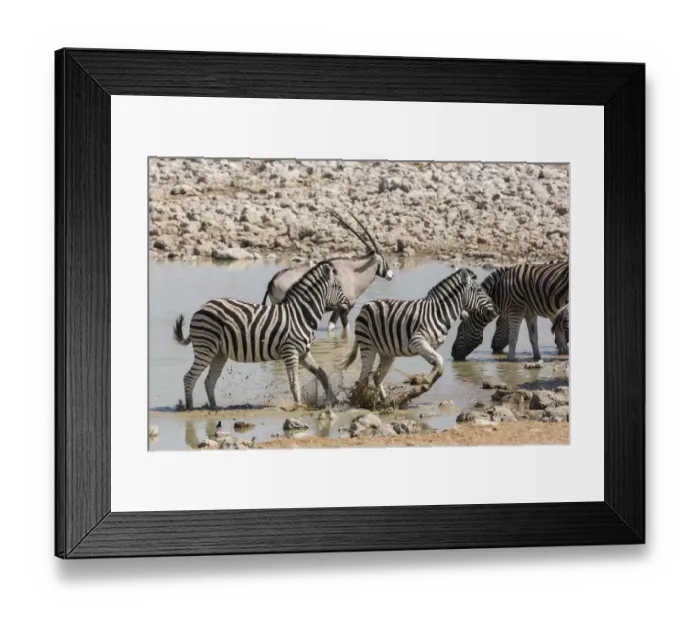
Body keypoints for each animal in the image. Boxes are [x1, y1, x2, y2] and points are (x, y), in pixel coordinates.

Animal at [172, 261, 350, 410]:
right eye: (338, 286)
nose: (348, 304)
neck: (300, 314)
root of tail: (201, 308)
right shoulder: (290, 351)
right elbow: (294, 383)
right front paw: (299, 406)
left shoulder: (303, 352)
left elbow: (322, 374)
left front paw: (333, 400)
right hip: (206, 347)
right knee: (189, 378)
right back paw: (189, 408)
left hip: (219, 353)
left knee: (209, 381)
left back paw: (214, 408)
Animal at [261, 208, 393, 331]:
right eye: (384, 260)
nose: (391, 275)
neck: (353, 273)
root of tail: (273, 281)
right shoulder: (344, 307)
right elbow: (345, 328)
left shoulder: (338, 308)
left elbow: (331, 326)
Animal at [340, 268, 497, 404]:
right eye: (479, 290)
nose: (495, 311)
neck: (439, 313)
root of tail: (365, 306)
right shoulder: (417, 341)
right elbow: (439, 362)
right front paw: (423, 382)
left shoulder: (432, 346)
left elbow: (439, 365)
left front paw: (423, 385)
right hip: (368, 346)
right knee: (363, 377)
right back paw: (359, 402)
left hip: (387, 353)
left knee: (377, 377)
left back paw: (385, 403)